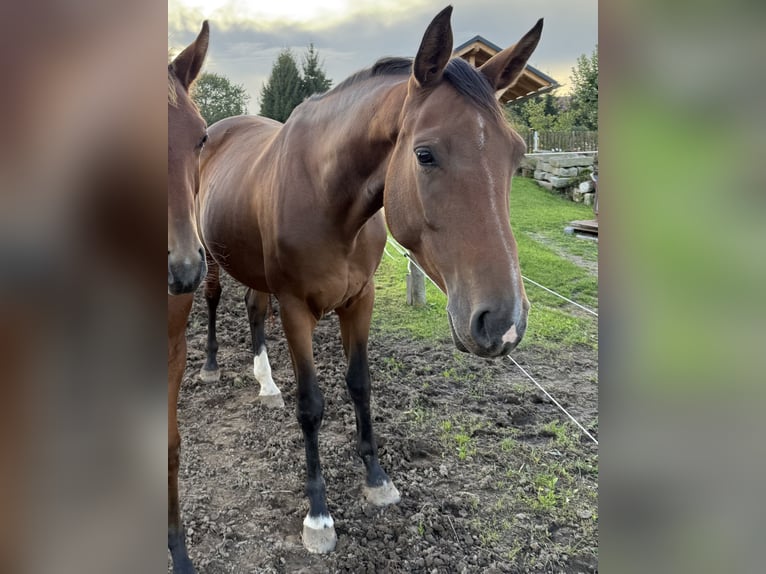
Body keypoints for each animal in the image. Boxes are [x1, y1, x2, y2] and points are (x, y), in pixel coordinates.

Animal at [197, 6, 540, 553]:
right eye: (424, 154)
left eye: (516, 155)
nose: (503, 322)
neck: (326, 196)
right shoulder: (296, 308)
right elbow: (311, 405)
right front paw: (318, 516)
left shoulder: (361, 299)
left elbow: (360, 385)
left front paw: (377, 481)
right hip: (210, 253)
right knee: (211, 298)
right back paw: (211, 365)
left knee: (253, 309)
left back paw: (266, 383)